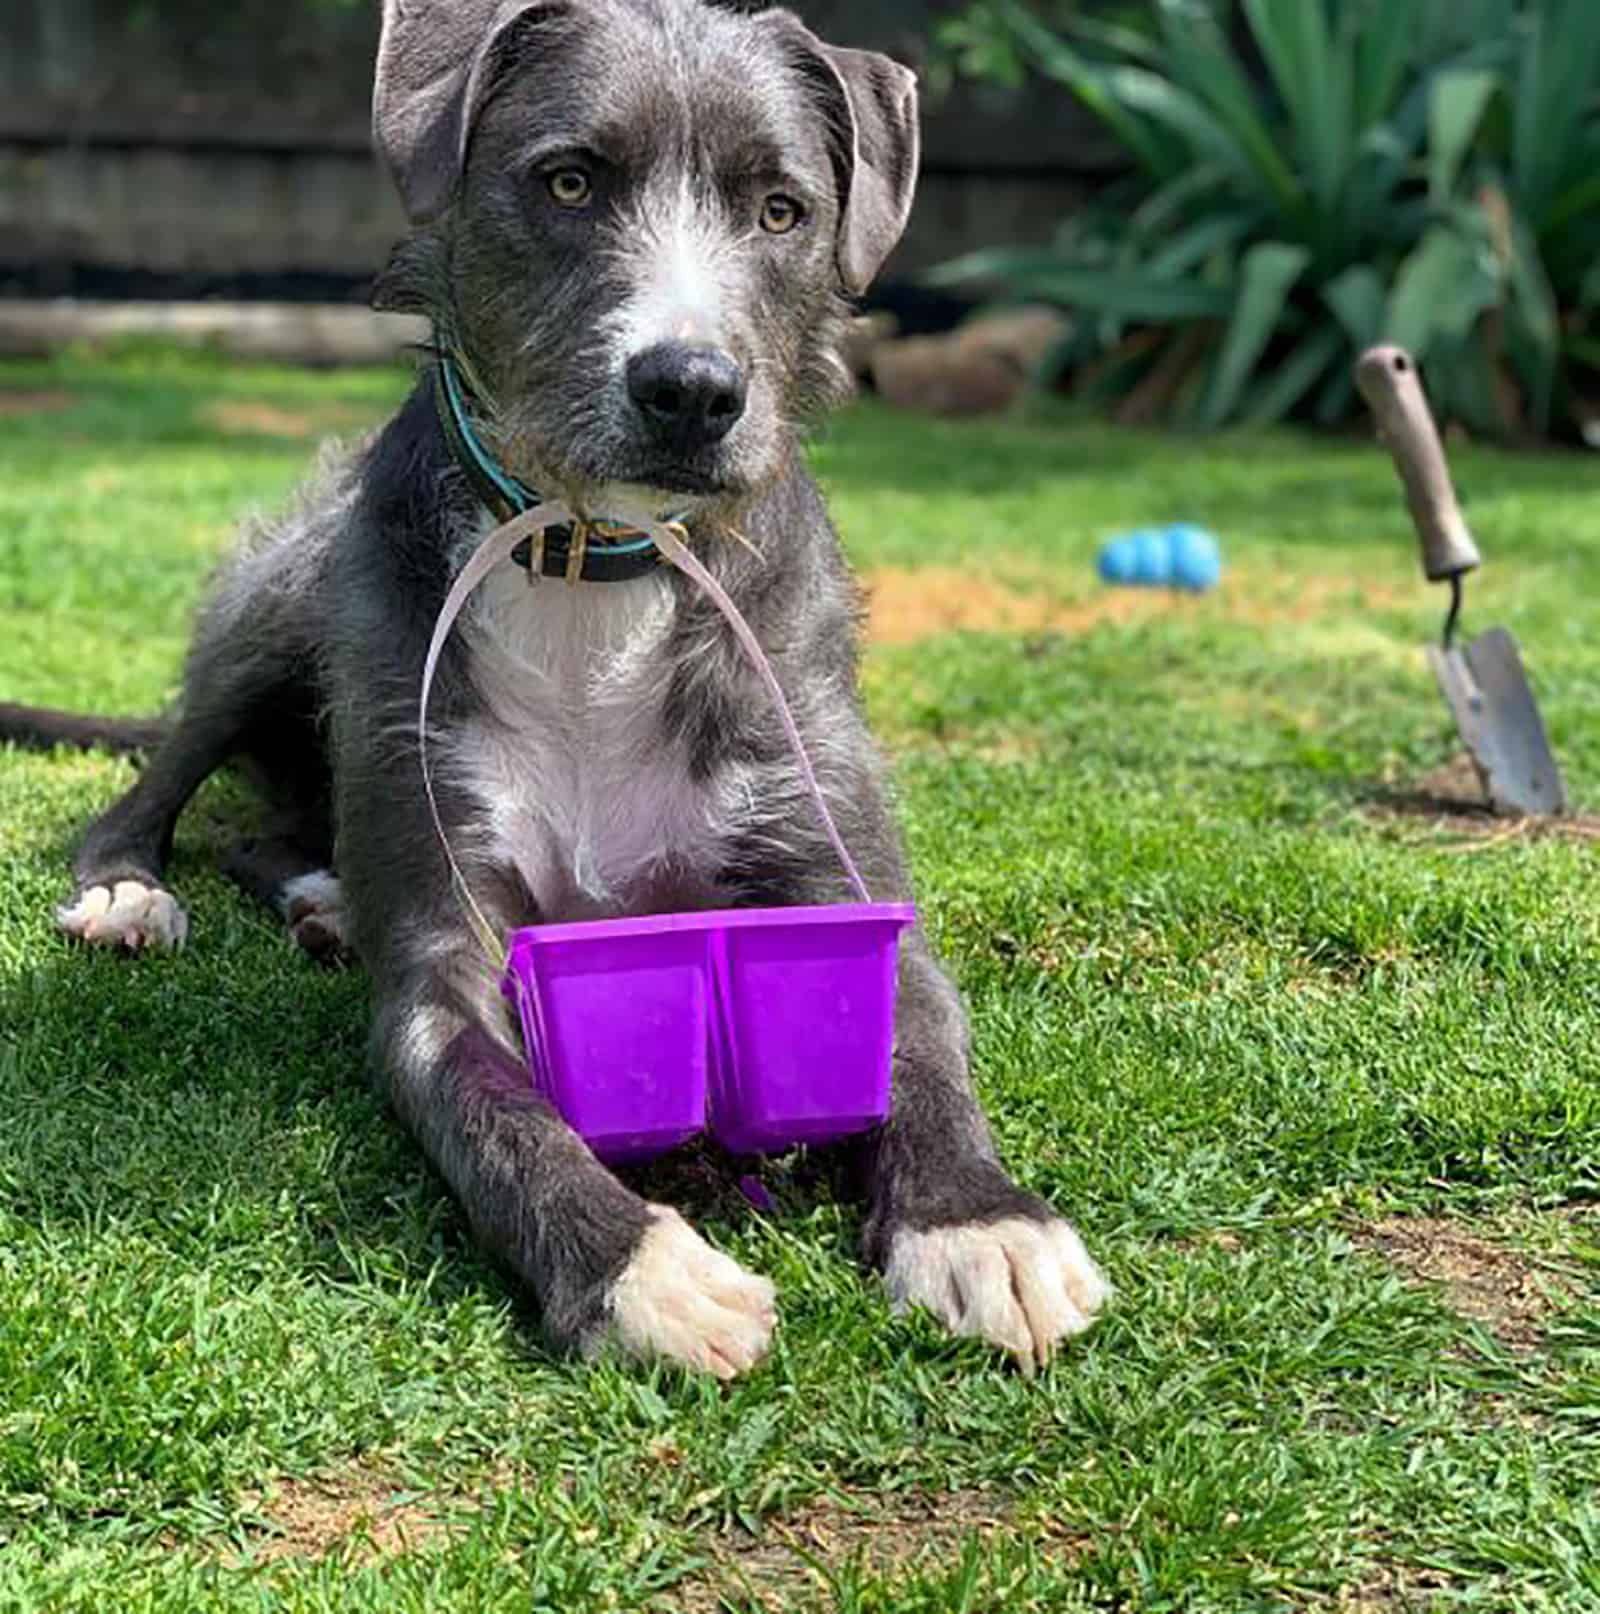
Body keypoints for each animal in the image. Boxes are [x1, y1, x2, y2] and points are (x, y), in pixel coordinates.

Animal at [6, 0, 1104, 1375]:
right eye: (570, 180)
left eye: (781, 210)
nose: (690, 390)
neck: (597, 561)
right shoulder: (442, 959)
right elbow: (497, 1108)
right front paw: (638, 1264)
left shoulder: (840, 870)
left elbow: (921, 1042)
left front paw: (979, 1223)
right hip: (282, 602)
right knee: (160, 787)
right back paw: (131, 893)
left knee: (274, 829)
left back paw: (321, 898)